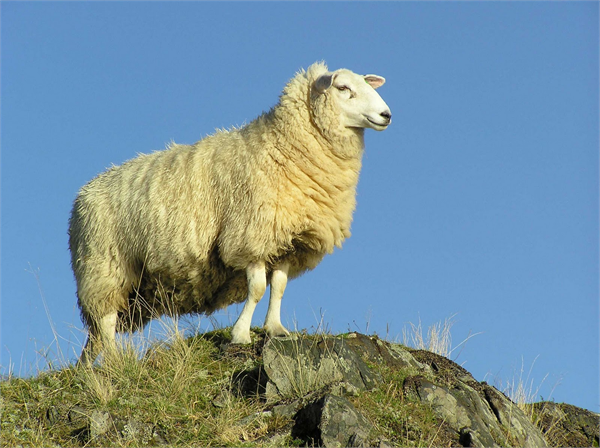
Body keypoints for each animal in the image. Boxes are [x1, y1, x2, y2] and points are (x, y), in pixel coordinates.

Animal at [68, 62, 392, 364]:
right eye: (342, 88)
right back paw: (115, 362)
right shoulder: (251, 234)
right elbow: (258, 289)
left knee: (97, 332)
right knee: (106, 320)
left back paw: (87, 369)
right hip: (104, 266)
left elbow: (279, 287)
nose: (387, 115)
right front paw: (241, 334)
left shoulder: (288, 240)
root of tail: (84, 193)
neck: (282, 145)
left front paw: (276, 328)